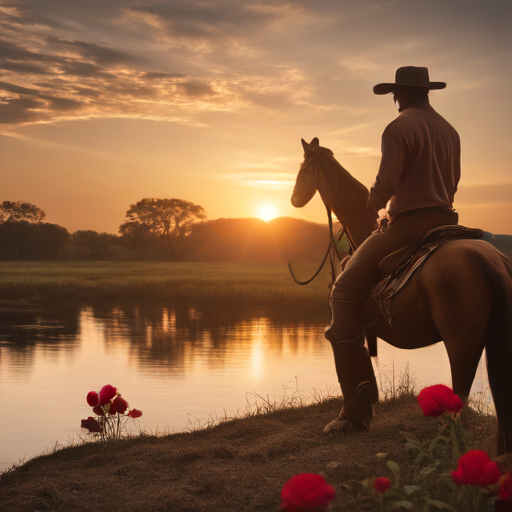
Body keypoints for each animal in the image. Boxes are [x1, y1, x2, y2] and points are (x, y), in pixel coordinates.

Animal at [290, 138, 512, 454]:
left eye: (304, 167)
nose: (295, 199)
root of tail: (491, 261)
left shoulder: (347, 320)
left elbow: (347, 353)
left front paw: (350, 418)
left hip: (462, 342)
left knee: (461, 393)